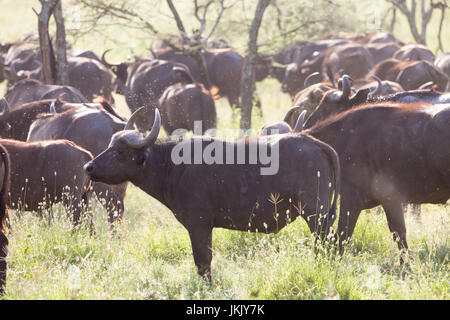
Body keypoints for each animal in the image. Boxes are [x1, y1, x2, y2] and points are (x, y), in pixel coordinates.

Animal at [83, 109, 342, 278]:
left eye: (120, 152)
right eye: (109, 145)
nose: (89, 167)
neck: (174, 167)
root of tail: (315, 143)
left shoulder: (199, 225)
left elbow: (202, 262)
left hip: (316, 216)